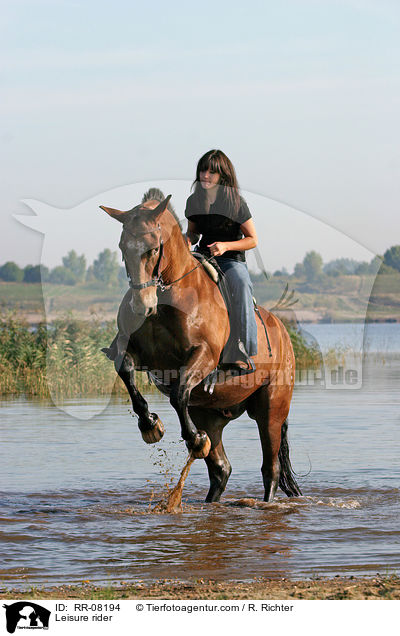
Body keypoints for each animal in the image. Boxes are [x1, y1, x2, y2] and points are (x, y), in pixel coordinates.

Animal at [101, 189, 304, 502]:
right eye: (123, 248)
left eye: (154, 249)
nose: (141, 306)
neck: (167, 299)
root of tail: (283, 332)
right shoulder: (135, 351)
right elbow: (126, 373)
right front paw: (150, 425)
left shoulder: (204, 356)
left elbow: (178, 393)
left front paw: (194, 440)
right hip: (209, 414)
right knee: (221, 469)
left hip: (271, 409)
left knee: (271, 469)